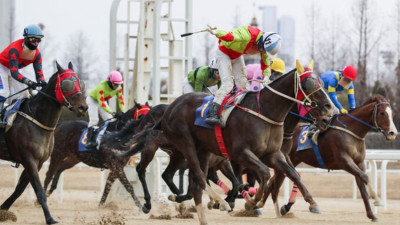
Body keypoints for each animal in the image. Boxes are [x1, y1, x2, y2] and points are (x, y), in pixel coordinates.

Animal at [0, 62, 87, 225]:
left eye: (80, 83)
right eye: (67, 84)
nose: (83, 107)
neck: (37, 119)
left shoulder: (38, 162)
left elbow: (19, 189)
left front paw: (3, 210)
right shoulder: (29, 160)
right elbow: (40, 191)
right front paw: (50, 218)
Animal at [123, 60, 332, 225]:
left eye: (321, 82)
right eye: (308, 84)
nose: (330, 110)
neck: (264, 112)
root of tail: (168, 109)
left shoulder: (272, 154)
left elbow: (292, 174)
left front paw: (312, 202)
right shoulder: (240, 153)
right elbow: (261, 174)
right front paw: (252, 203)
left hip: (199, 151)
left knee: (190, 181)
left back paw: (199, 212)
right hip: (182, 144)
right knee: (192, 176)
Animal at [266, 94, 396, 221]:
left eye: (393, 114)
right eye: (382, 113)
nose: (393, 133)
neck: (350, 130)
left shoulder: (359, 162)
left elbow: (362, 186)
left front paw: (372, 215)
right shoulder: (344, 161)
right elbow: (365, 177)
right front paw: (377, 200)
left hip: (291, 160)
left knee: (274, 183)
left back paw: (277, 208)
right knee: (275, 184)